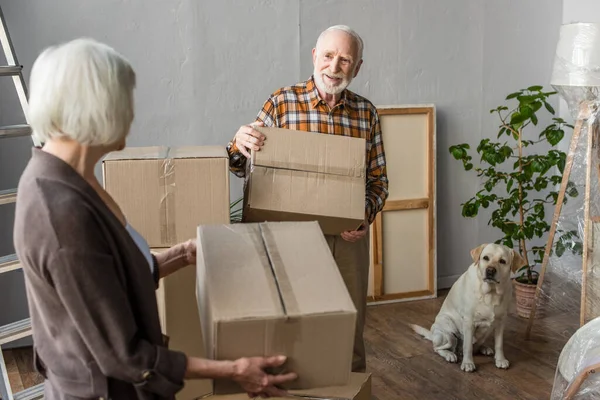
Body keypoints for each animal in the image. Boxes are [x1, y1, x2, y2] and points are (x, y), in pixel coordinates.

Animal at [410, 244, 524, 372]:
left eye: (502, 261)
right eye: (485, 258)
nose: (490, 270)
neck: (491, 292)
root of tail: (432, 333)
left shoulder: (501, 322)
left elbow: (499, 344)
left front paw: (500, 360)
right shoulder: (469, 322)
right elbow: (467, 346)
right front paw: (468, 363)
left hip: (487, 332)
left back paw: (484, 348)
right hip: (448, 333)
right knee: (438, 348)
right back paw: (450, 354)